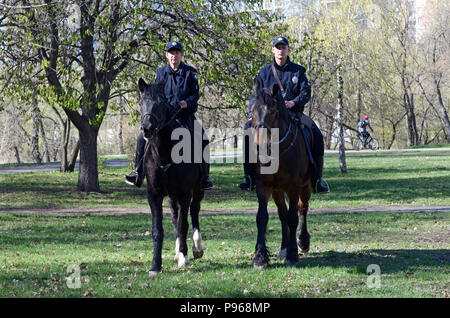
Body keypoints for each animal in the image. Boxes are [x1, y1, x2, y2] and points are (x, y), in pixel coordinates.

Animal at [139, 78, 206, 274]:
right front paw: (155, 265)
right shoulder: (154, 195)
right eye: (140, 102)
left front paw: (184, 258)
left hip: (197, 191)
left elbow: (184, 225)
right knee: (176, 218)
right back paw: (178, 251)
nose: (147, 128)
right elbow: (158, 229)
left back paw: (196, 248)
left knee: (194, 212)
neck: (165, 153)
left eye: (161, 102)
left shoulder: (185, 193)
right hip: (171, 197)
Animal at [250, 80, 312, 270]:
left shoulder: (294, 187)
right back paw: (284, 247)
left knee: (302, 209)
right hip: (277, 191)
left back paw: (302, 241)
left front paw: (293, 254)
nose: (259, 146)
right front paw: (260, 257)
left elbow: (293, 217)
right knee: (282, 214)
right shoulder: (263, 186)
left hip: (305, 187)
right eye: (252, 111)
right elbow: (262, 217)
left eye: (273, 111)